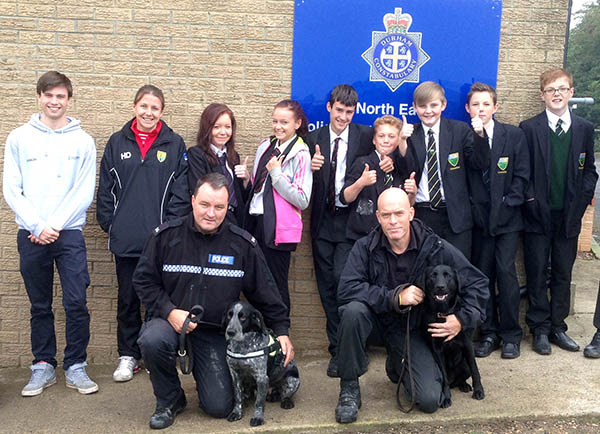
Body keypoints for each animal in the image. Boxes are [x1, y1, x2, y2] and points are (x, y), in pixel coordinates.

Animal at [420, 264, 486, 406]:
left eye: (448, 276)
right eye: (432, 276)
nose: (440, 287)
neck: (443, 313)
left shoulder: (467, 345)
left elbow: (475, 370)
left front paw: (479, 390)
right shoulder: (437, 349)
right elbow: (444, 377)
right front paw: (446, 397)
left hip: (464, 365)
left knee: (462, 377)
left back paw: (464, 385)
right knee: (448, 380)